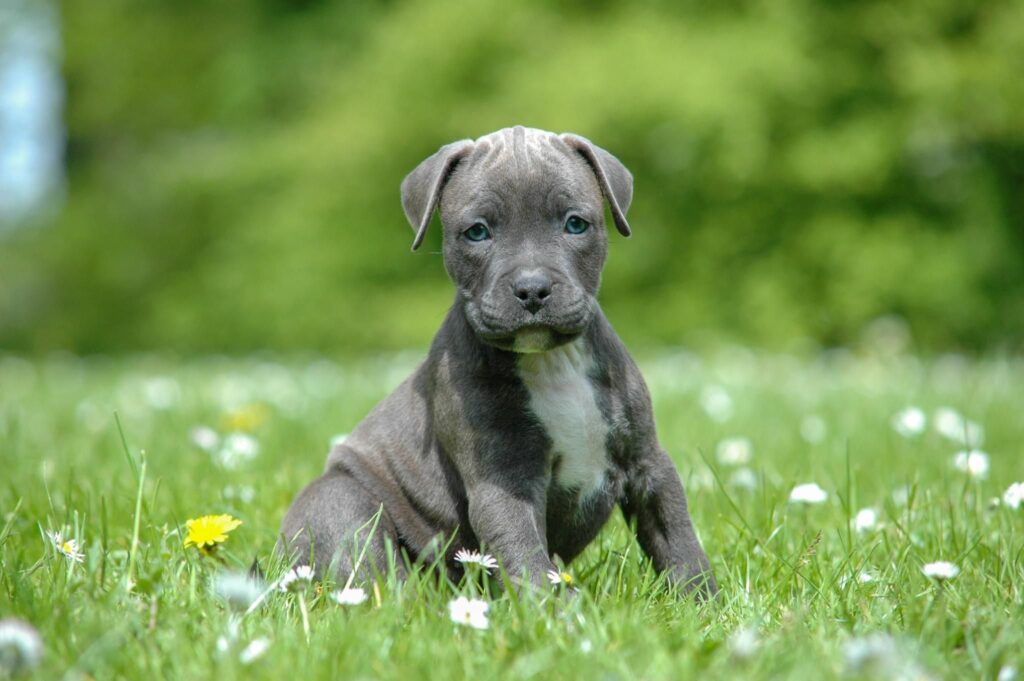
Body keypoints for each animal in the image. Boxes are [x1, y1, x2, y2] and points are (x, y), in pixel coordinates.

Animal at [278, 125, 712, 593]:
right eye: (477, 232)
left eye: (575, 224)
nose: (532, 288)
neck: (551, 361)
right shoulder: (503, 485)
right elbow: (525, 554)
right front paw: (553, 609)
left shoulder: (648, 462)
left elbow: (677, 537)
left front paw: (702, 600)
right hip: (343, 503)